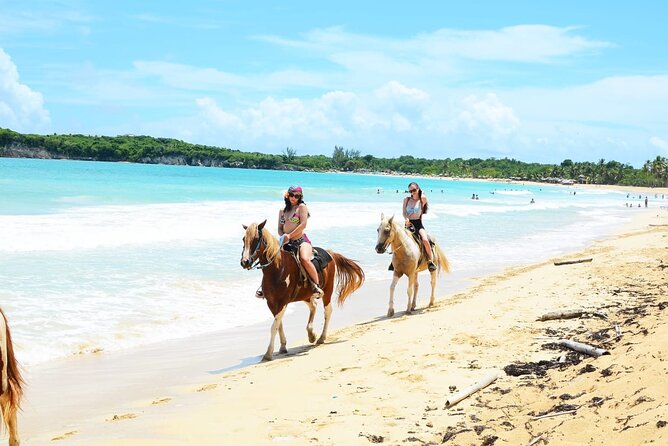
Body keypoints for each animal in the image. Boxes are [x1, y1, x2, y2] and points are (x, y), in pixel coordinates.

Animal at [240, 220, 365, 361]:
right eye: (243, 239)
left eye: (256, 239)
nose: (245, 262)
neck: (277, 269)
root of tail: (330, 253)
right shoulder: (271, 303)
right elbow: (278, 325)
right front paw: (282, 346)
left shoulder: (283, 302)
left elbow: (274, 326)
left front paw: (268, 354)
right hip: (305, 295)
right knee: (313, 306)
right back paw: (311, 334)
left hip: (327, 290)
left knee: (327, 311)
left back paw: (321, 338)